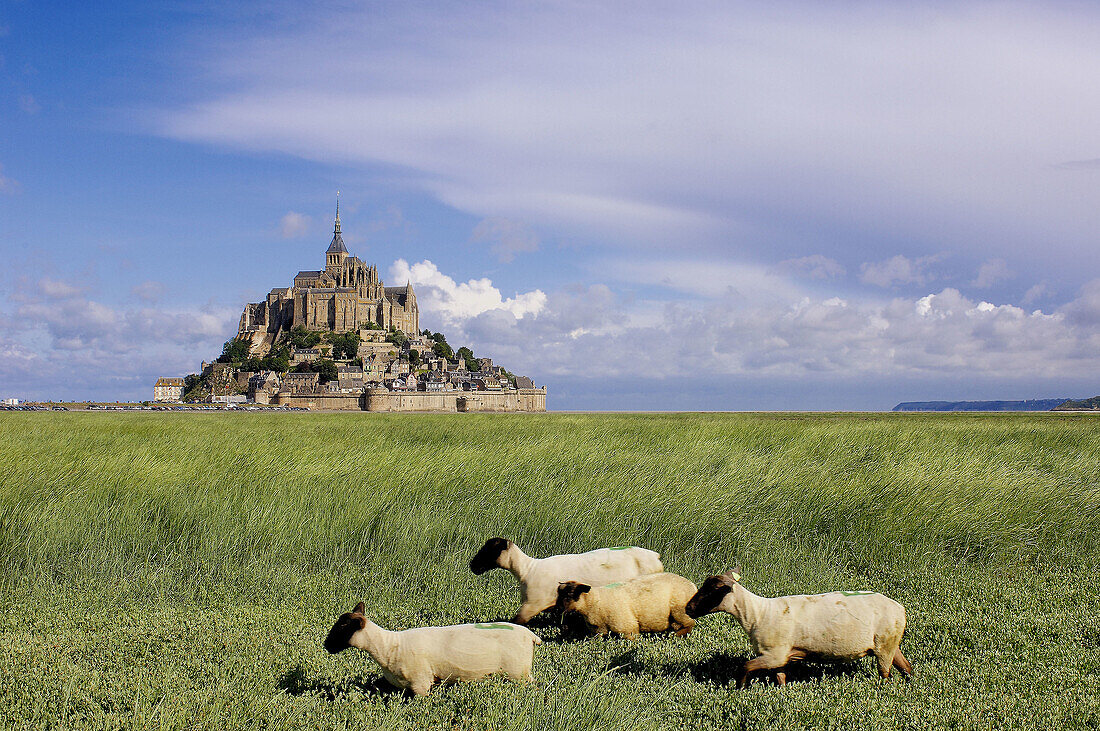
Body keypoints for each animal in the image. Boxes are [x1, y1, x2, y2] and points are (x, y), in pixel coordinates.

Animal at [323, 597, 543, 694]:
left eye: (342, 627)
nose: (326, 645)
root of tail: (530, 635)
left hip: (519, 672)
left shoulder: (421, 684)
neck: (389, 646)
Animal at [554, 571, 699, 637]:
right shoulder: (598, 631)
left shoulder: (628, 628)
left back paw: (677, 635)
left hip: (680, 610)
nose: (557, 609)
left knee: (690, 623)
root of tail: (693, 585)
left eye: (569, 594)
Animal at [686, 571, 910, 685]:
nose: (688, 608)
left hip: (884, 647)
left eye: (712, 590)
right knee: (906, 667)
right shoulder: (780, 658)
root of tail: (900, 608)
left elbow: (744, 667)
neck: (757, 613)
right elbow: (781, 678)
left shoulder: (773, 655)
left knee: (885, 674)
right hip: (890, 644)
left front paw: (739, 689)